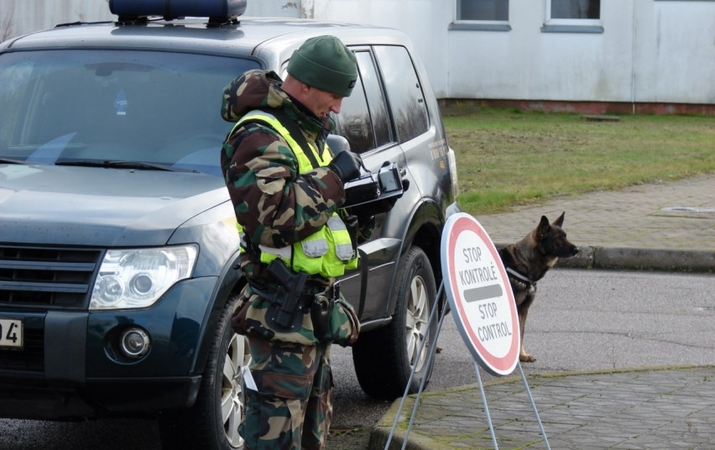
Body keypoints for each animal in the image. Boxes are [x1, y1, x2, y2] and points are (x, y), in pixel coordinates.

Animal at [498, 213, 580, 364]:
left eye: (566, 236)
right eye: (558, 239)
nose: (577, 250)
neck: (522, 265)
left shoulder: (523, 310)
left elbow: (521, 334)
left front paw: (522, 355)